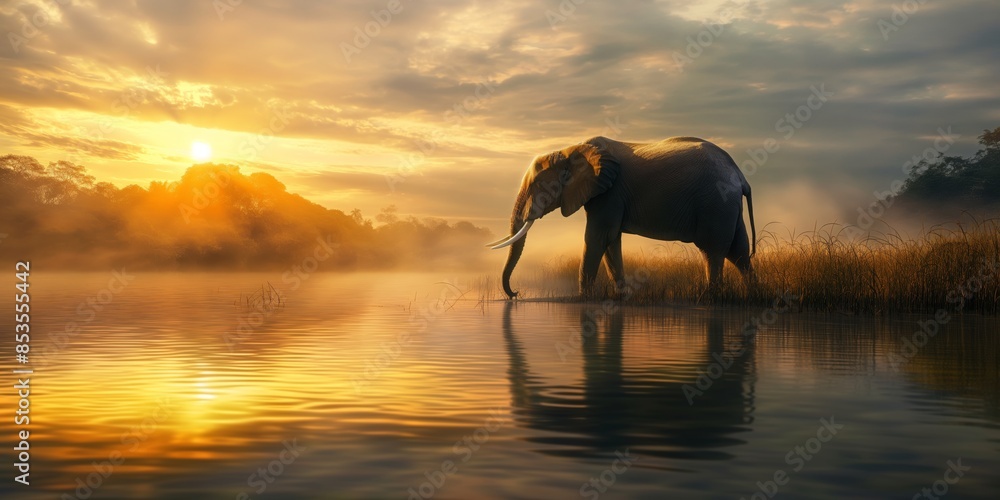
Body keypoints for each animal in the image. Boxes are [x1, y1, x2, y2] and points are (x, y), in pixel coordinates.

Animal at [489, 135, 756, 299]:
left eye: (537, 186)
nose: (516, 294)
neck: (571, 149)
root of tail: (740, 175)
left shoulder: (610, 193)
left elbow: (597, 239)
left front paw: (583, 299)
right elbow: (611, 242)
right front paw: (621, 297)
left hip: (716, 203)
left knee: (713, 251)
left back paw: (709, 298)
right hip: (727, 207)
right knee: (739, 251)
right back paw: (752, 294)